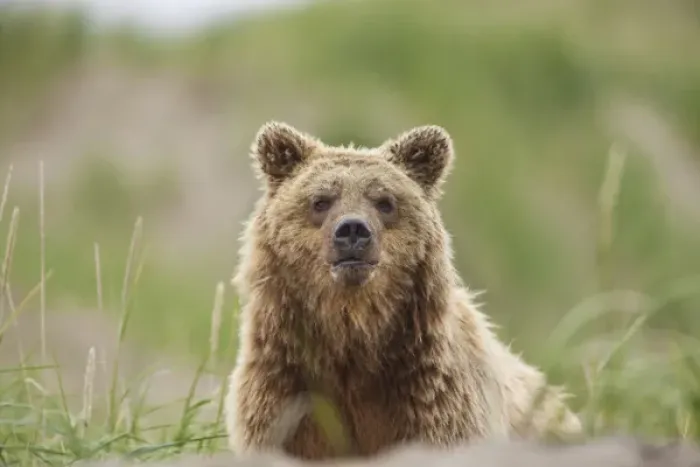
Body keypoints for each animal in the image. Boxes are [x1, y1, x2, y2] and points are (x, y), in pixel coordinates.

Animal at [224, 121, 582, 461]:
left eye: (384, 202)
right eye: (321, 200)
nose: (352, 230)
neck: (351, 334)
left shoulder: (433, 397)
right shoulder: (285, 394)